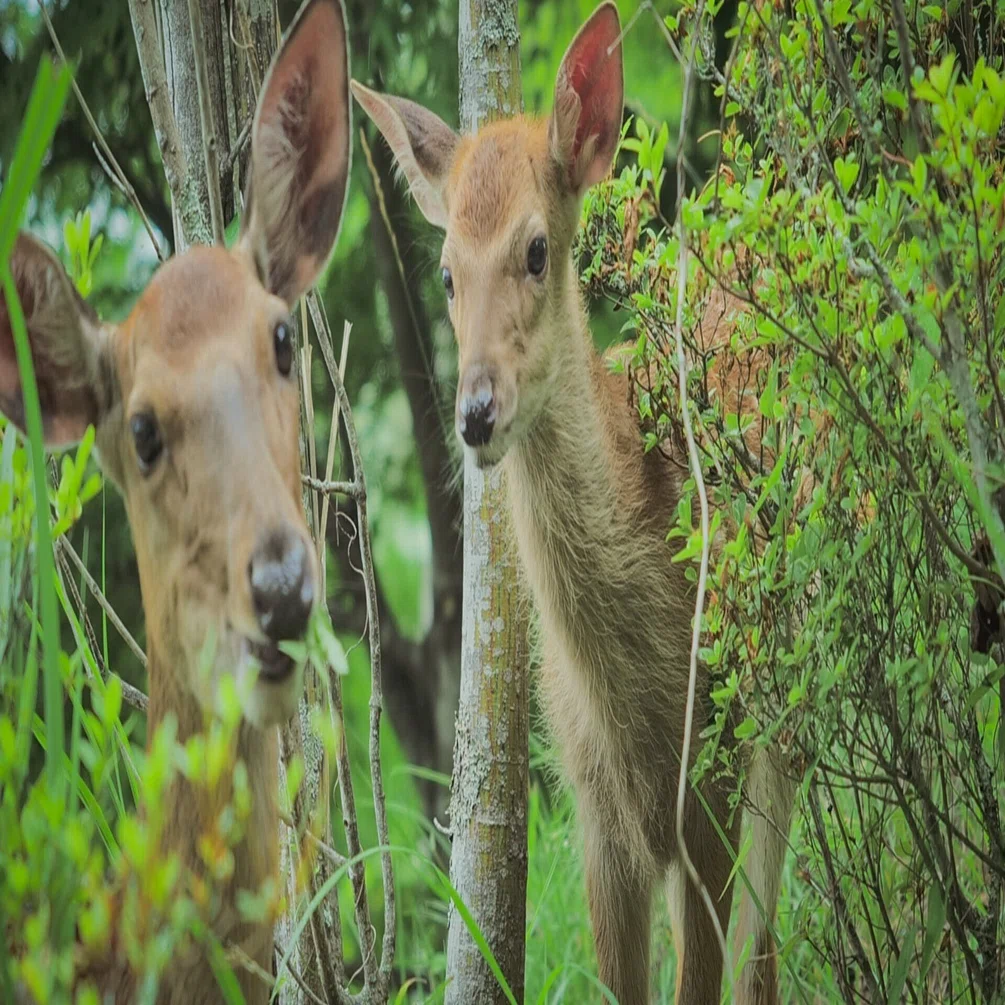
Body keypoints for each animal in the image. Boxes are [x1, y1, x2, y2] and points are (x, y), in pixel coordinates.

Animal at [352, 4, 794, 1004]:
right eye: (444, 273)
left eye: (536, 248)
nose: (475, 412)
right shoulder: (596, 813)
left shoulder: (707, 782)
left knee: (764, 939)